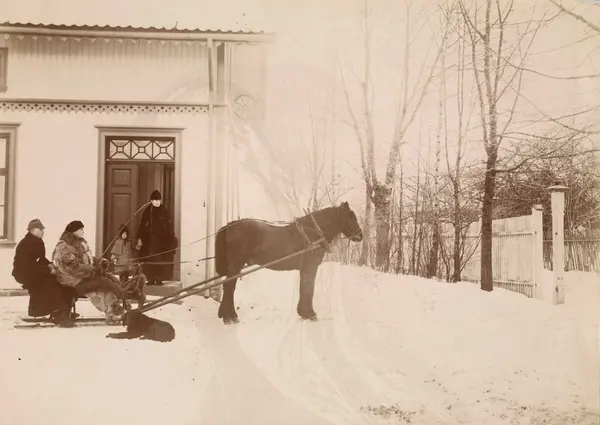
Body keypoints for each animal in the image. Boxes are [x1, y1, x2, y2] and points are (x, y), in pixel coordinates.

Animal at [213, 201, 363, 324]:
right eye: (351, 217)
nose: (360, 235)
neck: (312, 233)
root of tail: (229, 226)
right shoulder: (310, 267)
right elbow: (309, 289)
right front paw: (310, 314)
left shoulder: (305, 269)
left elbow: (304, 288)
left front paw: (303, 313)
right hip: (236, 265)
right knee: (229, 287)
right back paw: (228, 317)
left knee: (229, 287)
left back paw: (230, 315)